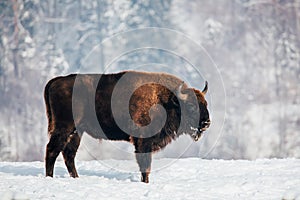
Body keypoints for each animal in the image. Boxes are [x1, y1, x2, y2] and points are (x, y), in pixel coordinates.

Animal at [44, 70, 210, 183]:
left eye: (205, 104)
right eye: (191, 106)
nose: (206, 123)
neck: (165, 100)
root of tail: (56, 81)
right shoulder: (143, 141)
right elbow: (145, 165)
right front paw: (145, 182)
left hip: (77, 131)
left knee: (69, 154)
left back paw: (76, 178)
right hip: (64, 127)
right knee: (52, 150)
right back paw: (49, 178)